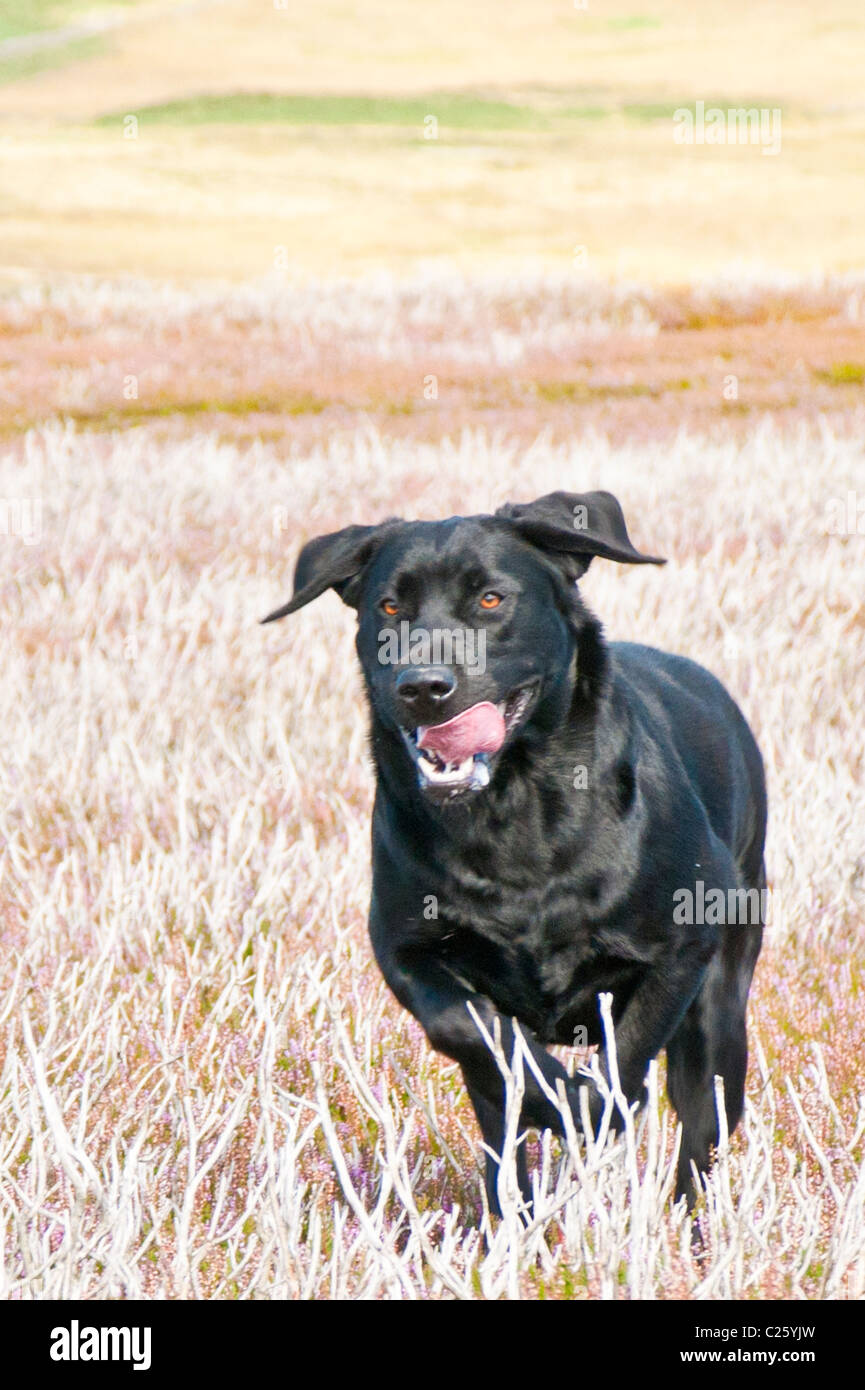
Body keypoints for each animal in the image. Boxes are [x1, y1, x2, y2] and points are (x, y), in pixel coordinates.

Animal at [262, 492, 767, 1217]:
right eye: (388, 606)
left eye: (491, 599)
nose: (423, 685)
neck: (514, 812)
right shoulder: (405, 950)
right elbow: (472, 1031)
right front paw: (544, 1092)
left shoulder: (683, 945)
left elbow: (628, 1056)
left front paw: (583, 1107)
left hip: (723, 1003)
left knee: (701, 1125)